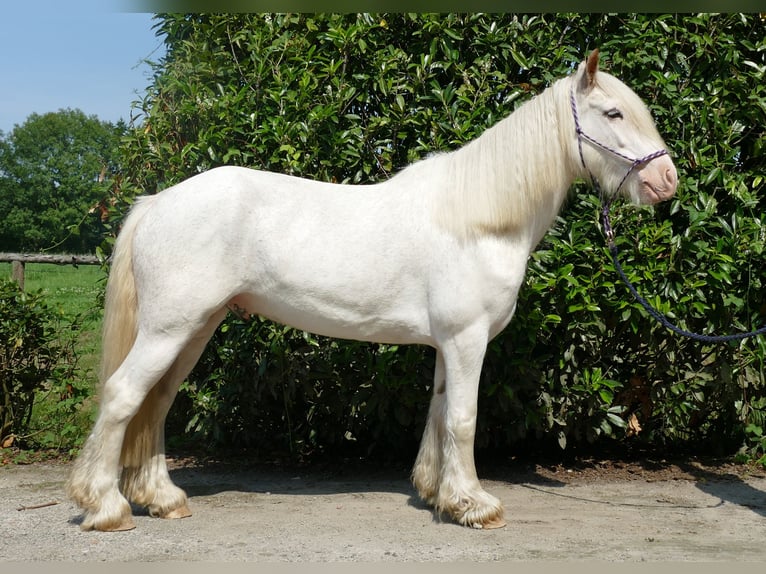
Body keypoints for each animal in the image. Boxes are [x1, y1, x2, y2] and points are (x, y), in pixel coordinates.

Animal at [66, 49, 680, 532]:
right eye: (613, 112)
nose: (666, 181)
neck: (481, 219)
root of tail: (156, 204)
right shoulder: (467, 339)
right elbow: (463, 418)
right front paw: (476, 506)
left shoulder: (448, 344)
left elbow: (438, 414)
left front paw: (440, 496)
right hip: (170, 329)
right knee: (123, 396)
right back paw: (106, 508)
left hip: (195, 328)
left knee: (156, 403)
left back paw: (162, 499)